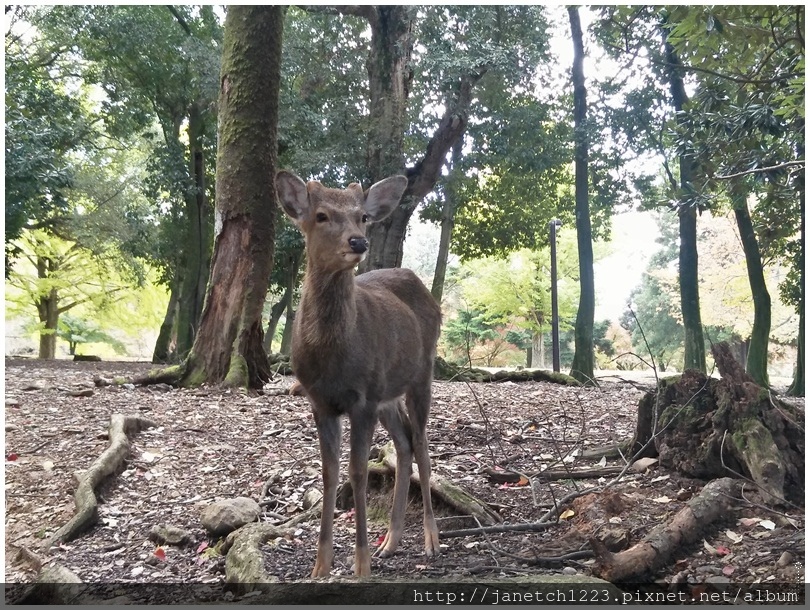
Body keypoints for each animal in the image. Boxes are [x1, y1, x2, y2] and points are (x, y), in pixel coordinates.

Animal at [276, 170, 442, 576]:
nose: (358, 241)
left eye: (362, 216)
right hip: (387, 393)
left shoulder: (362, 398)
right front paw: (320, 565)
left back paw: (431, 541)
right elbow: (330, 472)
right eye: (320, 215)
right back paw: (391, 542)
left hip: (421, 373)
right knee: (405, 443)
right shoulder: (320, 401)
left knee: (423, 445)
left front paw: (361, 564)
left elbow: (358, 472)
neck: (333, 358)